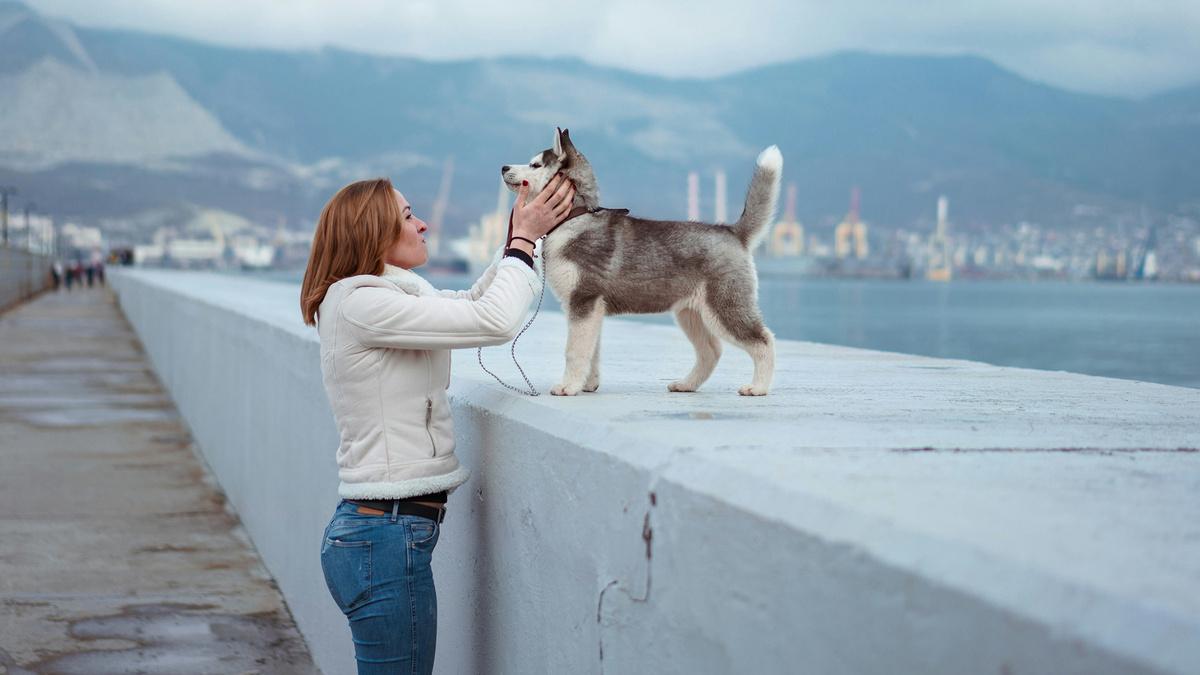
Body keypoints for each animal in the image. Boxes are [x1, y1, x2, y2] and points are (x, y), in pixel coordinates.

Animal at [501, 126, 782, 393]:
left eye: (535, 165)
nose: (504, 167)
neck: (575, 217)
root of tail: (732, 232)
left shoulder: (583, 300)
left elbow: (574, 351)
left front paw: (568, 387)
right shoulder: (590, 309)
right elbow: (591, 351)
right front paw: (587, 385)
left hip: (725, 307)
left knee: (764, 340)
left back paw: (758, 387)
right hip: (690, 313)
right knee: (711, 351)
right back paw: (686, 384)